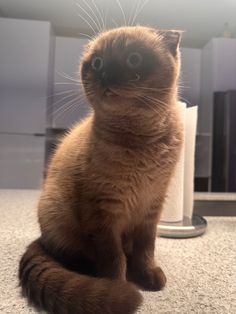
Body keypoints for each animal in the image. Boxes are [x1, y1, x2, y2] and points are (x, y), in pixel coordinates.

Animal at [18, 25, 184, 312]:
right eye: (97, 63)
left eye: (133, 59)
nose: (106, 73)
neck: (141, 139)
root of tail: (40, 238)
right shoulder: (104, 213)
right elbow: (114, 259)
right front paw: (119, 287)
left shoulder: (151, 207)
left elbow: (145, 250)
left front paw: (149, 278)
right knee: (72, 257)